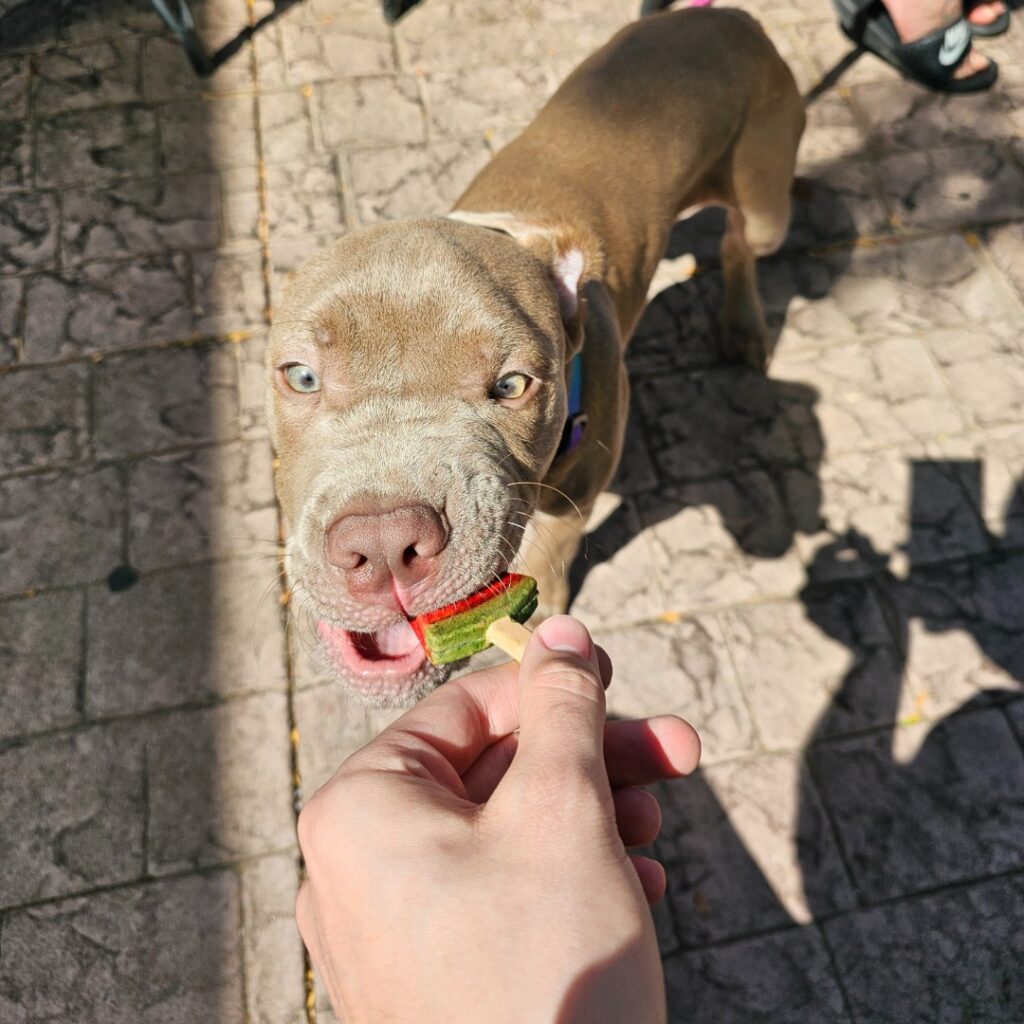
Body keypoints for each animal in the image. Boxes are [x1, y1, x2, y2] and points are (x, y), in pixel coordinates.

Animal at [267, 8, 805, 706]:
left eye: (512, 384)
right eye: (301, 376)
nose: (382, 545)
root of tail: (726, 14)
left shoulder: (569, 509)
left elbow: (548, 563)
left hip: (767, 199)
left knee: (741, 241)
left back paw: (743, 324)